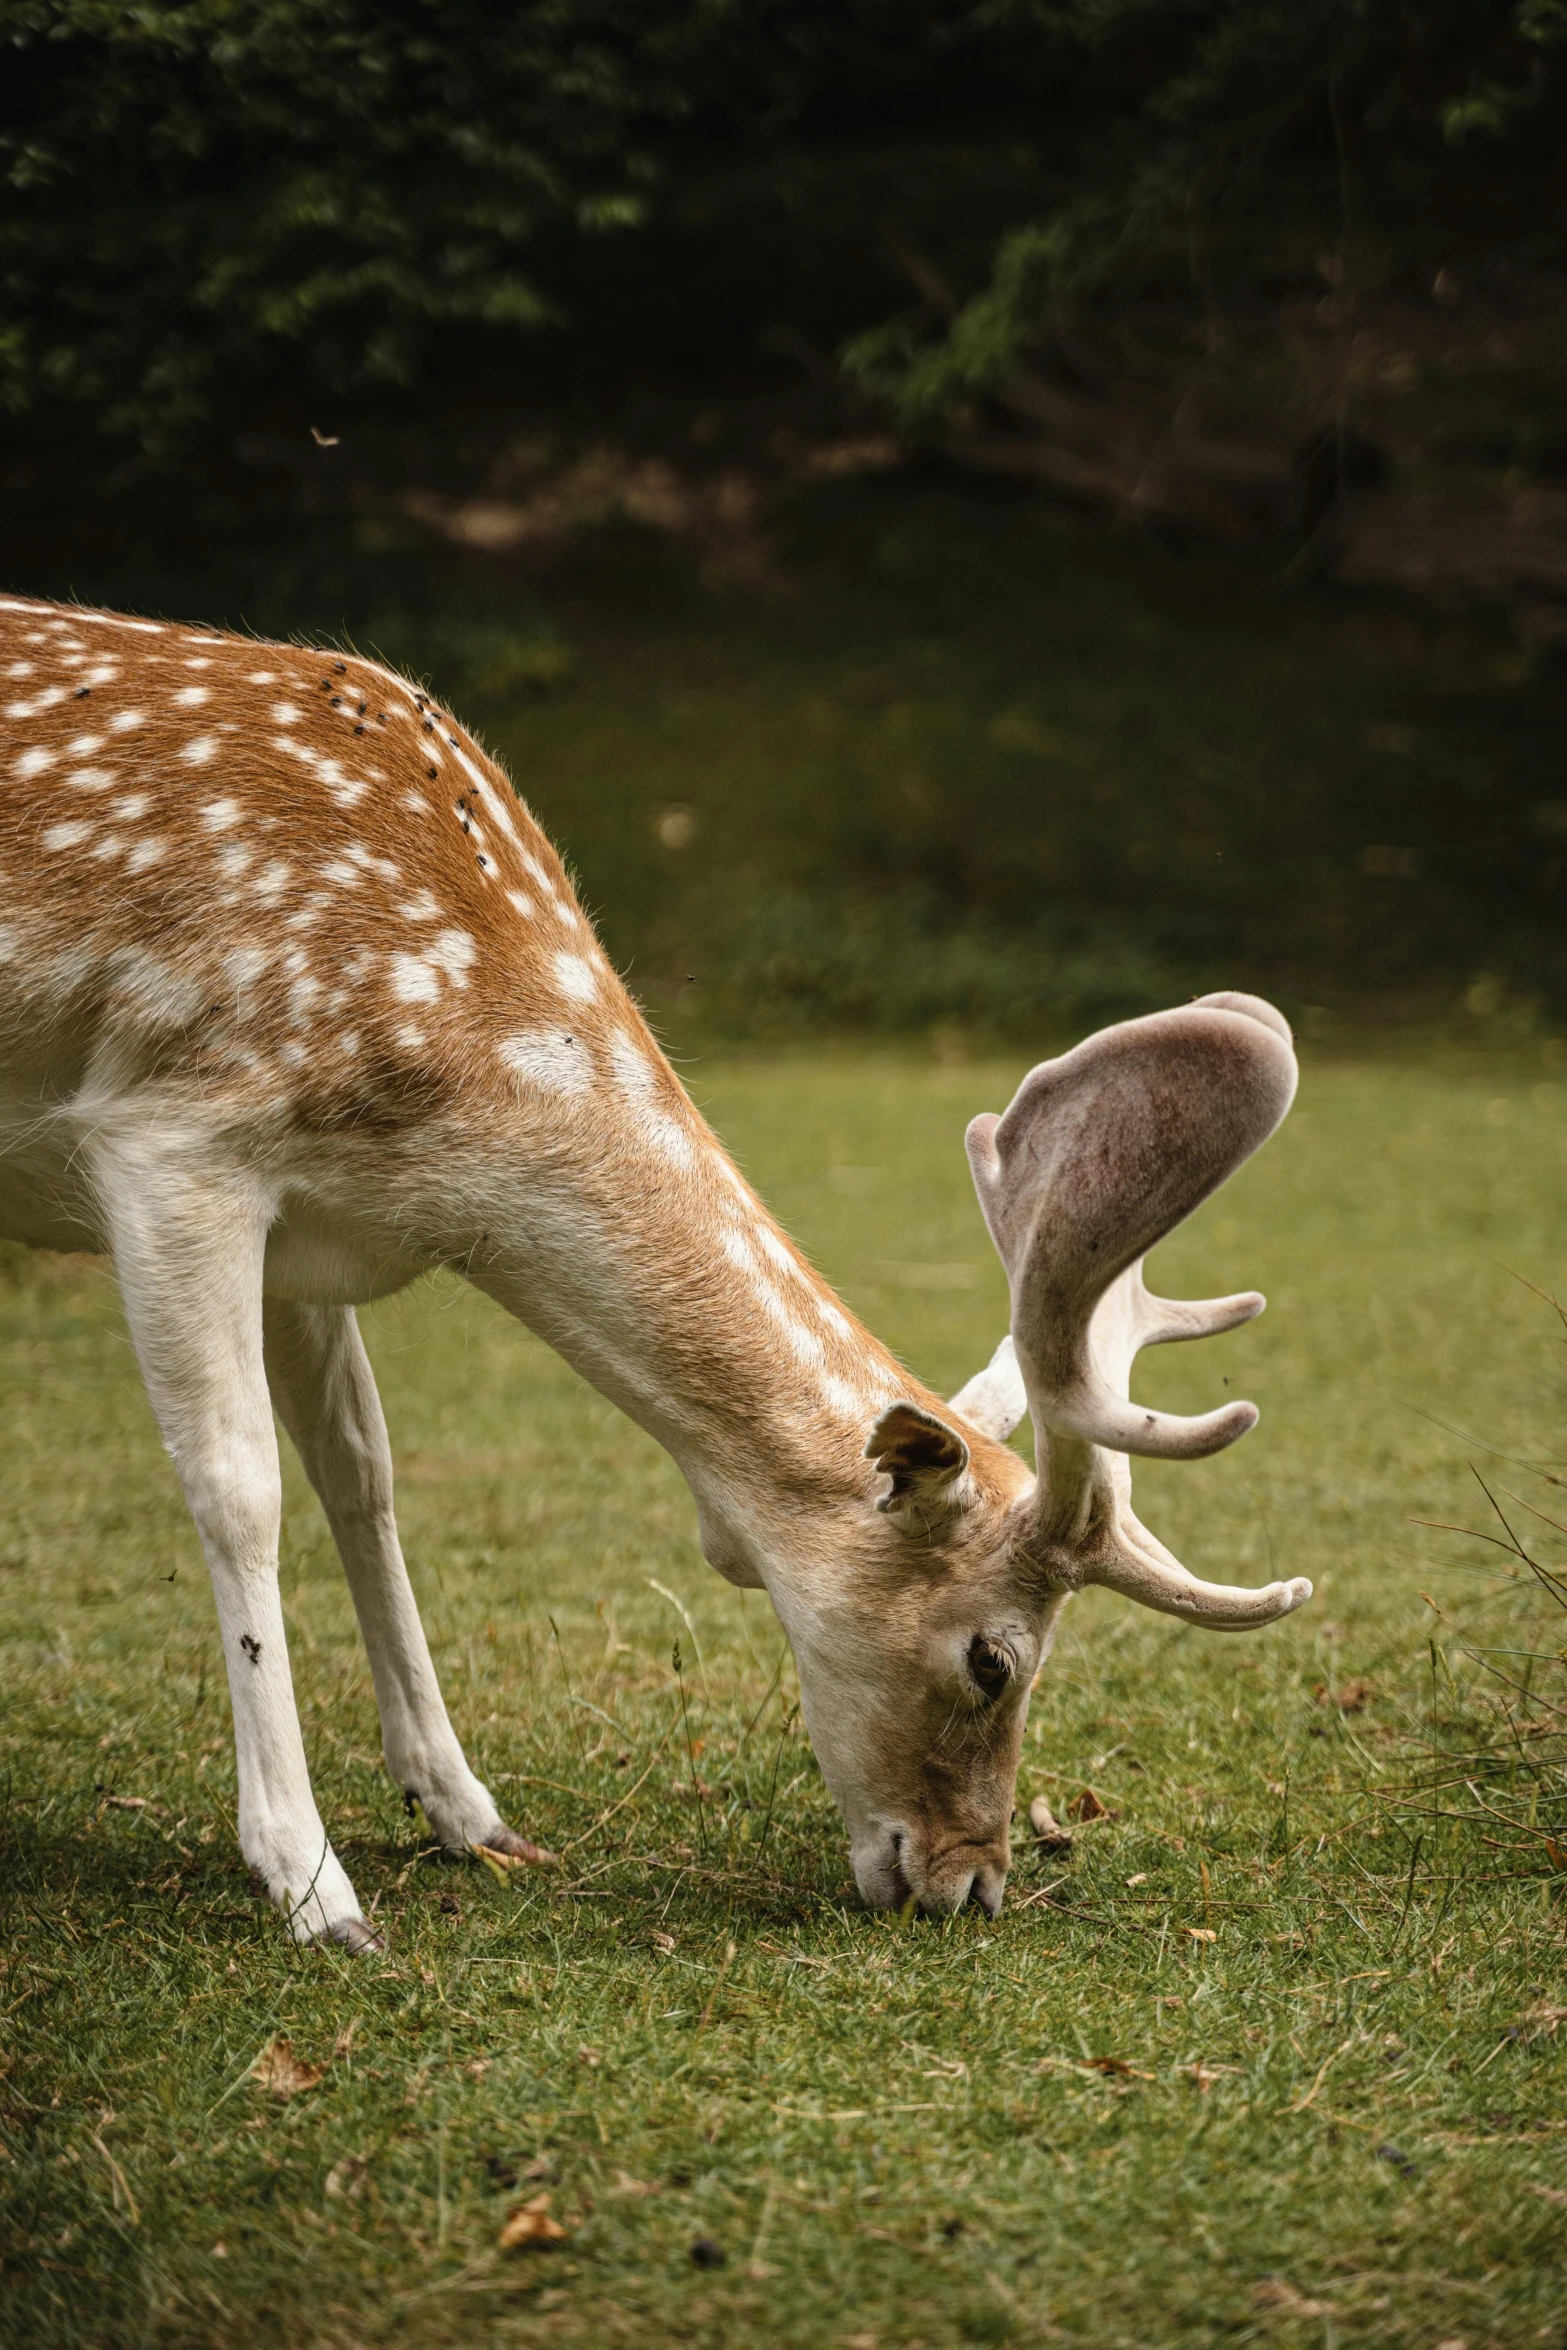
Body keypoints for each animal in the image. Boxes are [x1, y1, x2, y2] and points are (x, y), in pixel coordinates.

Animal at [0, 592, 1315, 1945]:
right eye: (992, 1657)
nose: (972, 1881)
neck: (451, 1125)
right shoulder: (175, 1143)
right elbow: (240, 1486)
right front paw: (312, 1884)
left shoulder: (312, 1230)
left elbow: (361, 1471)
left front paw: (467, 1813)